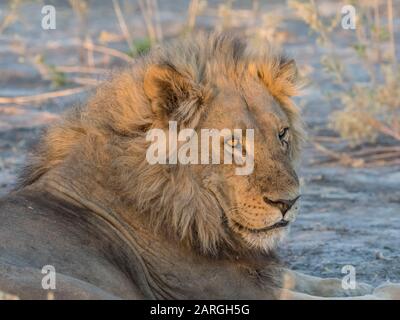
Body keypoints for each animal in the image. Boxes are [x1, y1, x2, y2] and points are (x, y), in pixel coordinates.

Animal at [0, 33, 400, 298]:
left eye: (283, 134)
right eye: (235, 143)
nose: (288, 203)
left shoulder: (256, 272)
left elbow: (315, 280)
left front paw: (363, 282)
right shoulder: (222, 288)